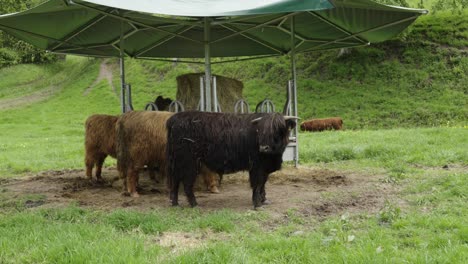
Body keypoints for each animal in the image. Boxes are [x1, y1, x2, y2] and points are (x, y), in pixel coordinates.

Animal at [166, 111, 296, 208]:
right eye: (260, 130)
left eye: (279, 129)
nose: (263, 147)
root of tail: (174, 119)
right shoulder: (256, 166)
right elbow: (257, 184)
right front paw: (257, 203)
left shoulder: (265, 168)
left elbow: (263, 183)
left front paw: (264, 200)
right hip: (189, 162)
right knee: (187, 183)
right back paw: (194, 204)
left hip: (178, 163)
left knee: (175, 181)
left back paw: (175, 203)